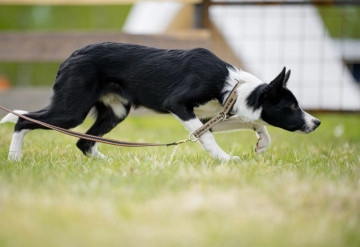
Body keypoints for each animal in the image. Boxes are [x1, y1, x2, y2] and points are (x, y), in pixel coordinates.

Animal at [0, 43, 320, 161]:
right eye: (292, 107)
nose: (316, 122)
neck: (230, 86)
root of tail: (72, 55)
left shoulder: (211, 116)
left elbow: (251, 122)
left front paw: (262, 142)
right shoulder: (178, 104)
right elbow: (206, 139)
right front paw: (225, 159)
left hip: (116, 112)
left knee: (83, 142)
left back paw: (108, 165)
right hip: (72, 110)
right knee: (23, 119)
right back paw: (14, 158)